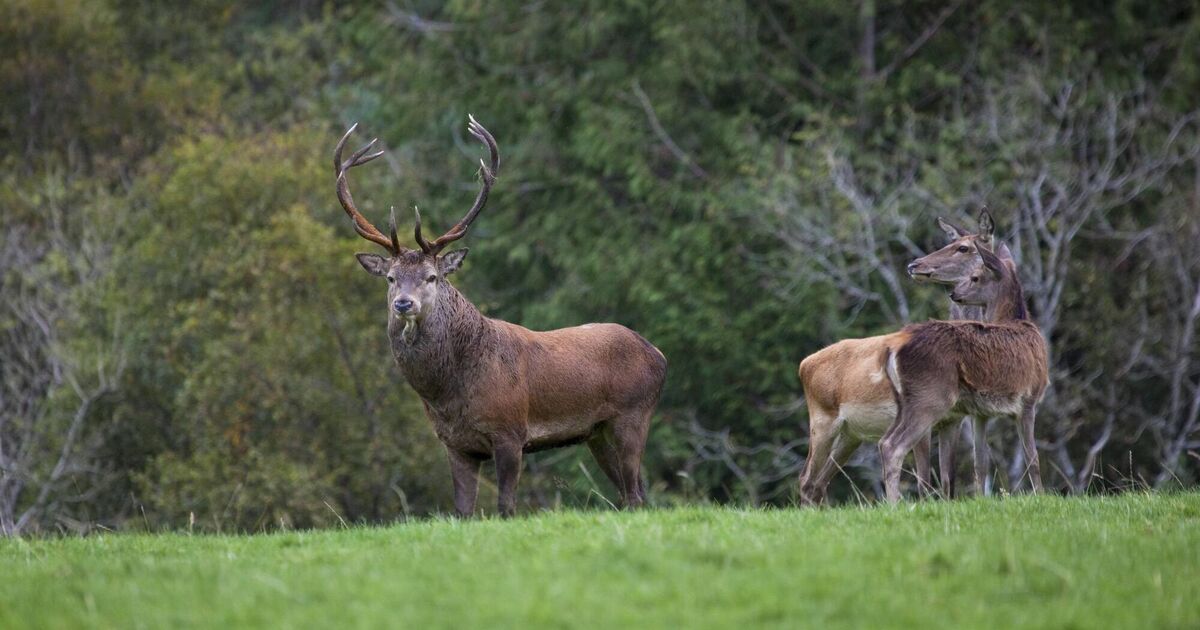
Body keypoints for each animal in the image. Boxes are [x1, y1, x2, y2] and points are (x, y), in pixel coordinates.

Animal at [333, 117, 667, 517]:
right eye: (391, 278)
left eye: (431, 277)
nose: (403, 304)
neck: (448, 394)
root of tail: (658, 354)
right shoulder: (455, 443)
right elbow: (462, 510)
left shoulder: (510, 431)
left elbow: (506, 507)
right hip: (596, 432)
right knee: (633, 495)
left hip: (633, 415)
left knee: (635, 494)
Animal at [797, 211, 1014, 505]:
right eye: (952, 242)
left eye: (963, 247)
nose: (914, 264)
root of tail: (804, 364)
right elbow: (924, 481)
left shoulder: (953, 419)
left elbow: (948, 481)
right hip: (822, 420)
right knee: (806, 479)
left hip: (851, 433)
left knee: (818, 483)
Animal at [879, 243, 1047, 503]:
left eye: (975, 277)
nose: (954, 294)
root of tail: (893, 348)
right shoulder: (1029, 399)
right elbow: (1033, 459)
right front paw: (1041, 496)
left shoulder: (980, 413)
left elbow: (981, 463)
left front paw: (981, 500)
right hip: (931, 397)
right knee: (892, 446)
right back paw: (894, 504)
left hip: (903, 402)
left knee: (884, 441)